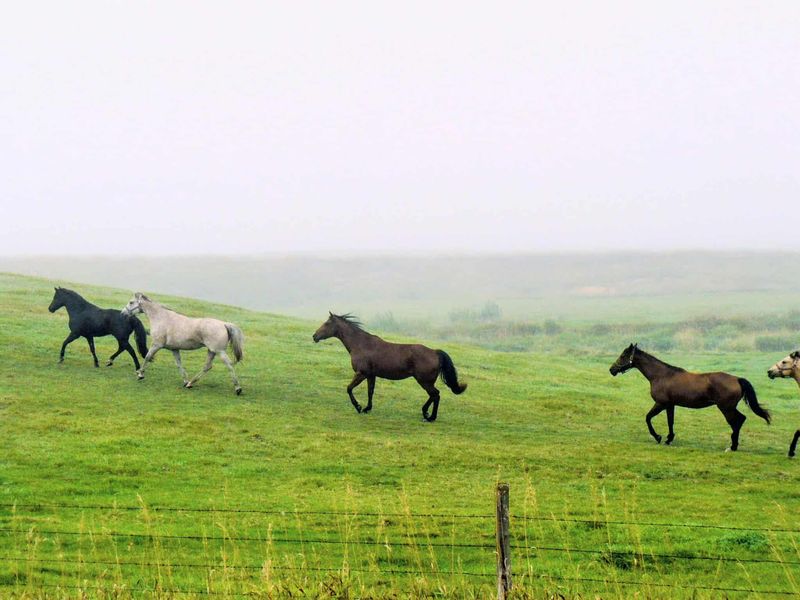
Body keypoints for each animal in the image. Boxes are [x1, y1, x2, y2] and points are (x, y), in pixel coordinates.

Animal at [312, 312, 467, 421]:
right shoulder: (371, 375)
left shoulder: (361, 373)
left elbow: (349, 388)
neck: (361, 344)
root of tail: (435, 352)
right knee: (434, 395)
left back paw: (429, 417)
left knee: (435, 395)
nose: (314, 336)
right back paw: (427, 413)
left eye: (327, 323)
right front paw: (367, 408)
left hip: (424, 381)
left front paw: (358, 407)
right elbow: (370, 391)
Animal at [609, 343, 770, 451]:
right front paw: (669, 438)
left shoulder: (661, 404)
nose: (612, 370)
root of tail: (737, 379)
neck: (661, 375)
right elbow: (670, 422)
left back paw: (733, 446)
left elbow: (648, 418)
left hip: (726, 408)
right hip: (728, 408)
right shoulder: (670, 405)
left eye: (623, 355)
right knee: (740, 420)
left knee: (737, 421)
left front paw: (658, 437)